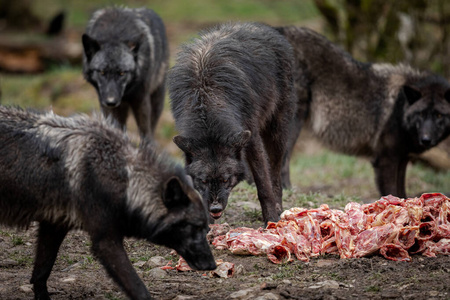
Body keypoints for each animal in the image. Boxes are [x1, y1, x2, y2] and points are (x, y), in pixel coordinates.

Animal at [0, 106, 216, 300]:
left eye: (206, 228)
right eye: (193, 227)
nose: (212, 265)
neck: (121, 177)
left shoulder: (54, 226)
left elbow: (41, 272)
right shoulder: (105, 241)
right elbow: (139, 289)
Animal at [81, 6, 169, 138]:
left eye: (122, 73)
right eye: (102, 72)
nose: (111, 101)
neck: (114, 35)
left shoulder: (140, 100)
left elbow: (145, 133)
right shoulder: (105, 105)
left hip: (157, 100)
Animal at [169, 22, 296, 225]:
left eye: (225, 180)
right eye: (203, 181)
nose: (215, 209)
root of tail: (265, 27)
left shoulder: (250, 137)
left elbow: (263, 184)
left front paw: (271, 219)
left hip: (277, 133)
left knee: (276, 174)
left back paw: (278, 207)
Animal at [276, 26, 450, 199]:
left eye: (439, 115)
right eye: (421, 114)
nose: (426, 139)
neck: (400, 108)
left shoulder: (402, 158)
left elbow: (402, 191)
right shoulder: (386, 159)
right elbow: (392, 191)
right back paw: (287, 189)